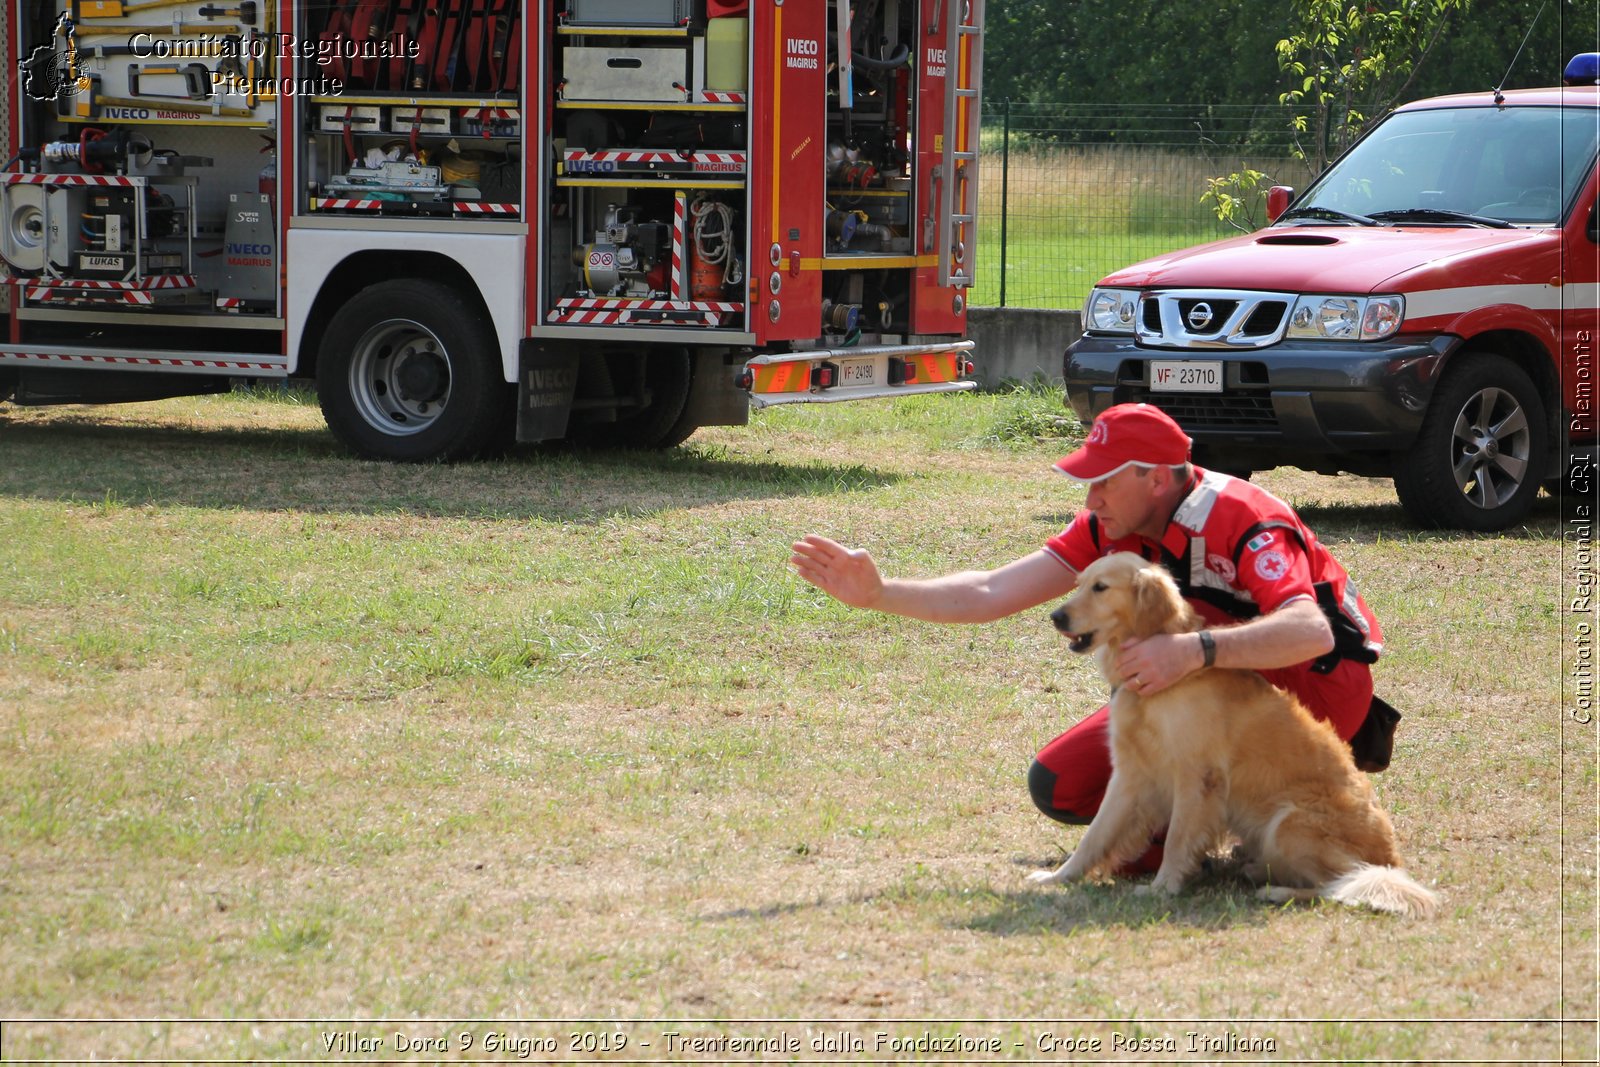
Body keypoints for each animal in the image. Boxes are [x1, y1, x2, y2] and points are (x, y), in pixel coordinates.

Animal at [1030, 550, 1446, 921]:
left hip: (1290, 823)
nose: (1055, 616)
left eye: (1101, 587)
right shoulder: (1129, 776)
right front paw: (1058, 877)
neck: (1162, 685)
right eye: (1079, 583)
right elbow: (1094, 836)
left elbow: (1177, 840)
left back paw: (1276, 890)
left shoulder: (1197, 779)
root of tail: (1391, 862)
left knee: (1338, 885)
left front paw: (1161, 888)